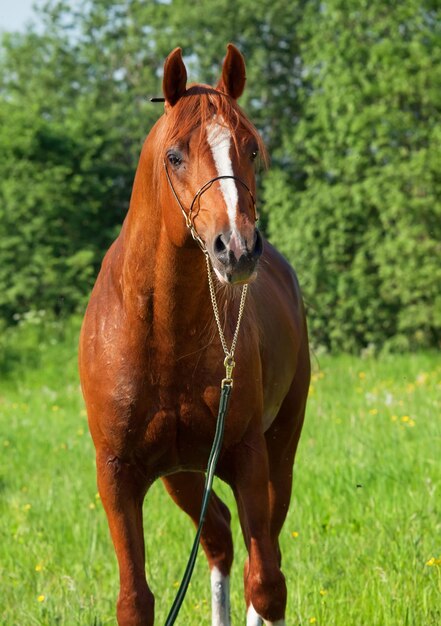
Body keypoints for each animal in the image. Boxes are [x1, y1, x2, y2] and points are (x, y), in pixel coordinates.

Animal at [78, 45, 310, 624]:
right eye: (175, 156)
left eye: (251, 149)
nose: (238, 248)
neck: (163, 336)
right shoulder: (118, 476)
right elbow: (135, 600)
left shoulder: (248, 457)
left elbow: (266, 582)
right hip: (182, 476)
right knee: (219, 536)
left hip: (280, 450)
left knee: (259, 555)